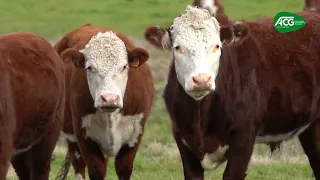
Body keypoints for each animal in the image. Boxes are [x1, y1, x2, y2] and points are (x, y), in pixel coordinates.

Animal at [54, 23, 154, 180]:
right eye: (89, 67)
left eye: (124, 66)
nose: (109, 98)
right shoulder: (84, 137)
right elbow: (96, 170)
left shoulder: (135, 136)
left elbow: (124, 168)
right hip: (72, 137)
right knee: (79, 165)